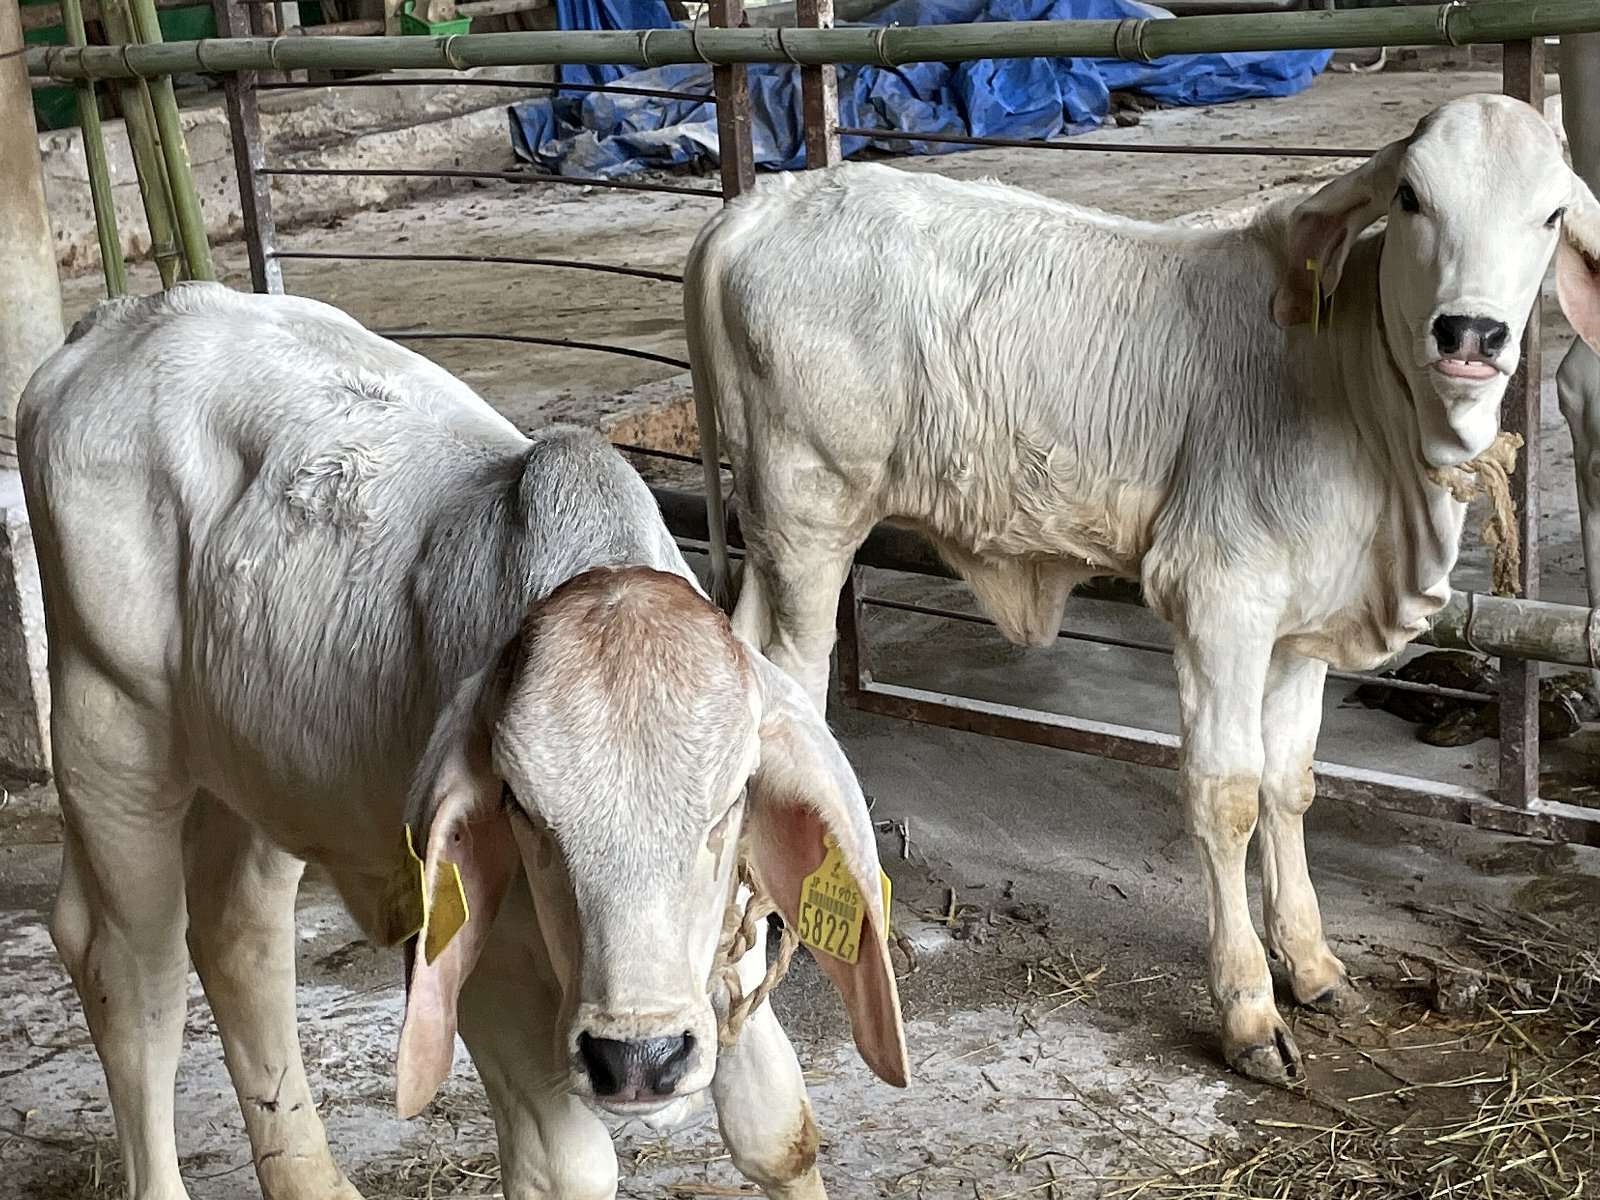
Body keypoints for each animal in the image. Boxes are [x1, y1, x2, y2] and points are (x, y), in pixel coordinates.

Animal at [18, 284, 908, 1200]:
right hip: (108, 728)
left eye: (730, 804)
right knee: (131, 971)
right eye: (523, 808)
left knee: (238, 935)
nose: (638, 1058)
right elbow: (569, 1170)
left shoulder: (724, 966)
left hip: (263, 771)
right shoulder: (487, 976)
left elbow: (778, 1132)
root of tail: (126, 318)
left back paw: (313, 1178)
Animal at [688, 96, 1600, 1088]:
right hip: (811, 517)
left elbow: (1291, 783)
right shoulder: (1220, 596)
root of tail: (762, 205)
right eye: (1411, 197)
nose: (1471, 335)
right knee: (798, 688)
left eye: (1551, 213)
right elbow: (1228, 794)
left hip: (772, 539)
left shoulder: (1303, 626)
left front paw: (1313, 965)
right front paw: (1248, 1008)